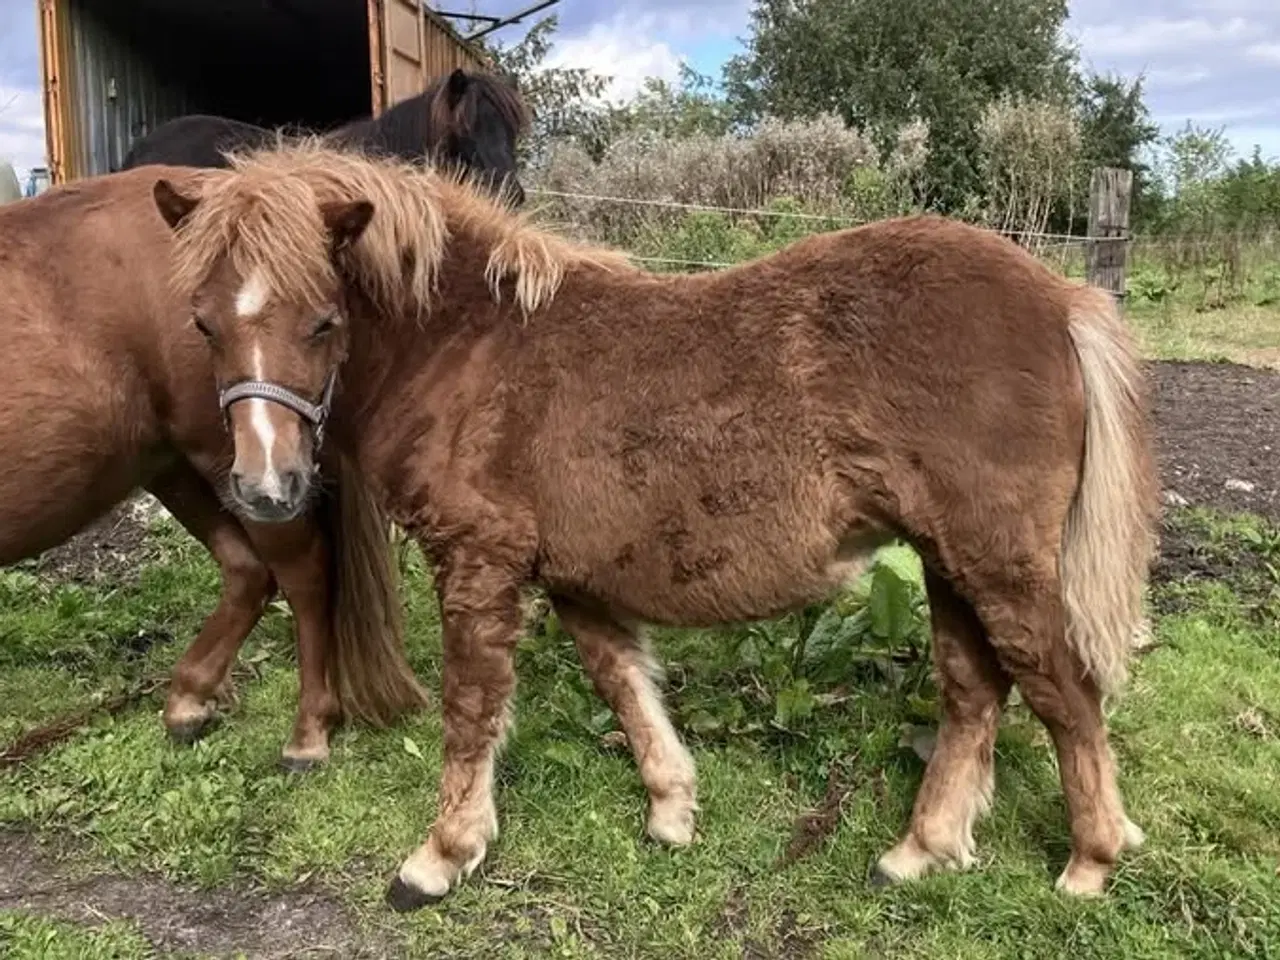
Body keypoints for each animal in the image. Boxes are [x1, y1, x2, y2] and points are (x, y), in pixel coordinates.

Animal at [0, 165, 430, 773]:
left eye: (324, 323)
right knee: (248, 569)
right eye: (202, 326)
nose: (268, 482)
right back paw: (189, 699)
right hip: (184, 468)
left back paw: (307, 729)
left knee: (302, 572)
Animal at [149, 142, 1162, 911]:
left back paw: (1091, 859)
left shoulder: (478, 562)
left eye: (324, 322)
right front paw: (673, 810)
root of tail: (1062, 299)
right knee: (973, 689)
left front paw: (440, 857)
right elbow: (625, 685)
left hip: (998, 562)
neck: (469, 350)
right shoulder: (575, 576)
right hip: (949, 561)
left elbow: (472, 710)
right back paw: (920, 849)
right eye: (202, 324)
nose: (267, 488)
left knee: (1063, 691)